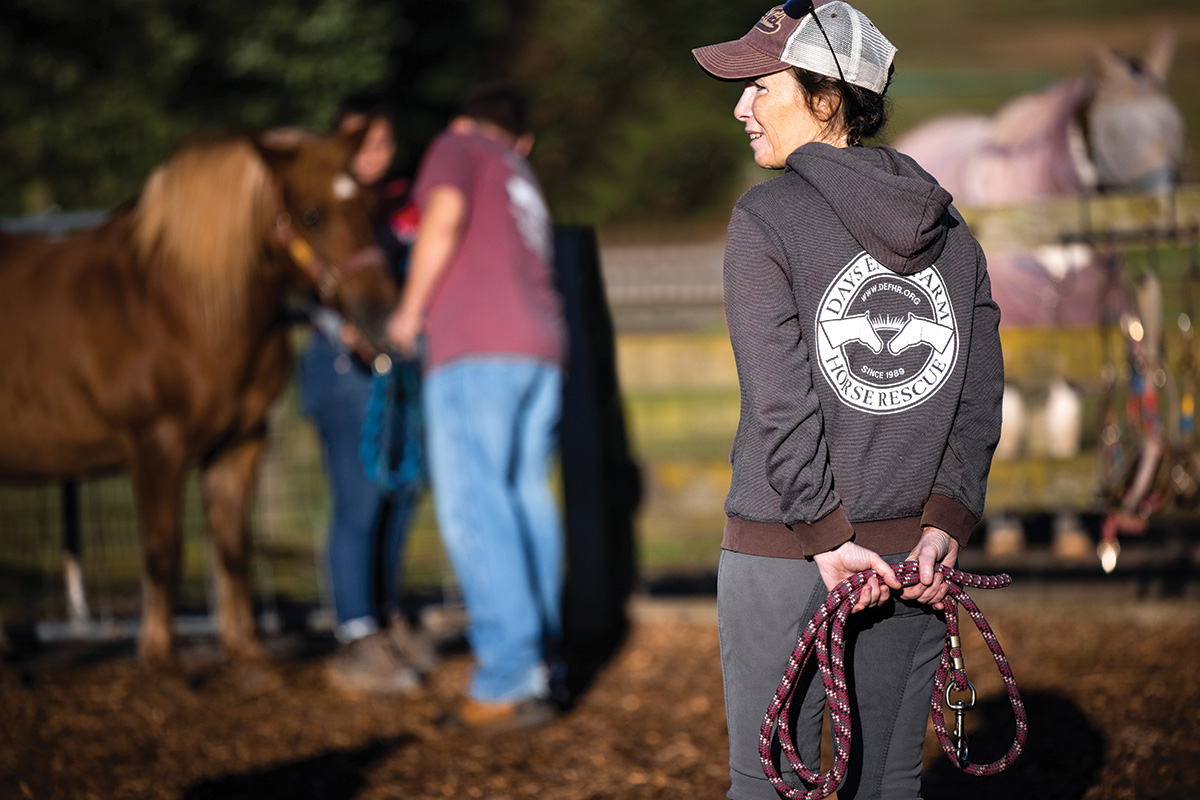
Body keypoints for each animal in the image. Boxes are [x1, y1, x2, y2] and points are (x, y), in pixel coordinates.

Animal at [0, 125, 398, 671]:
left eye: (368, 204)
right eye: (312, 215)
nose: (380, 314)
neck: (186, 304)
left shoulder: (240, 442)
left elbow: (232, 547)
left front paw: (245, 649)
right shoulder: (156, 445)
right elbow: (163, 549)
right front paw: (157, 656)